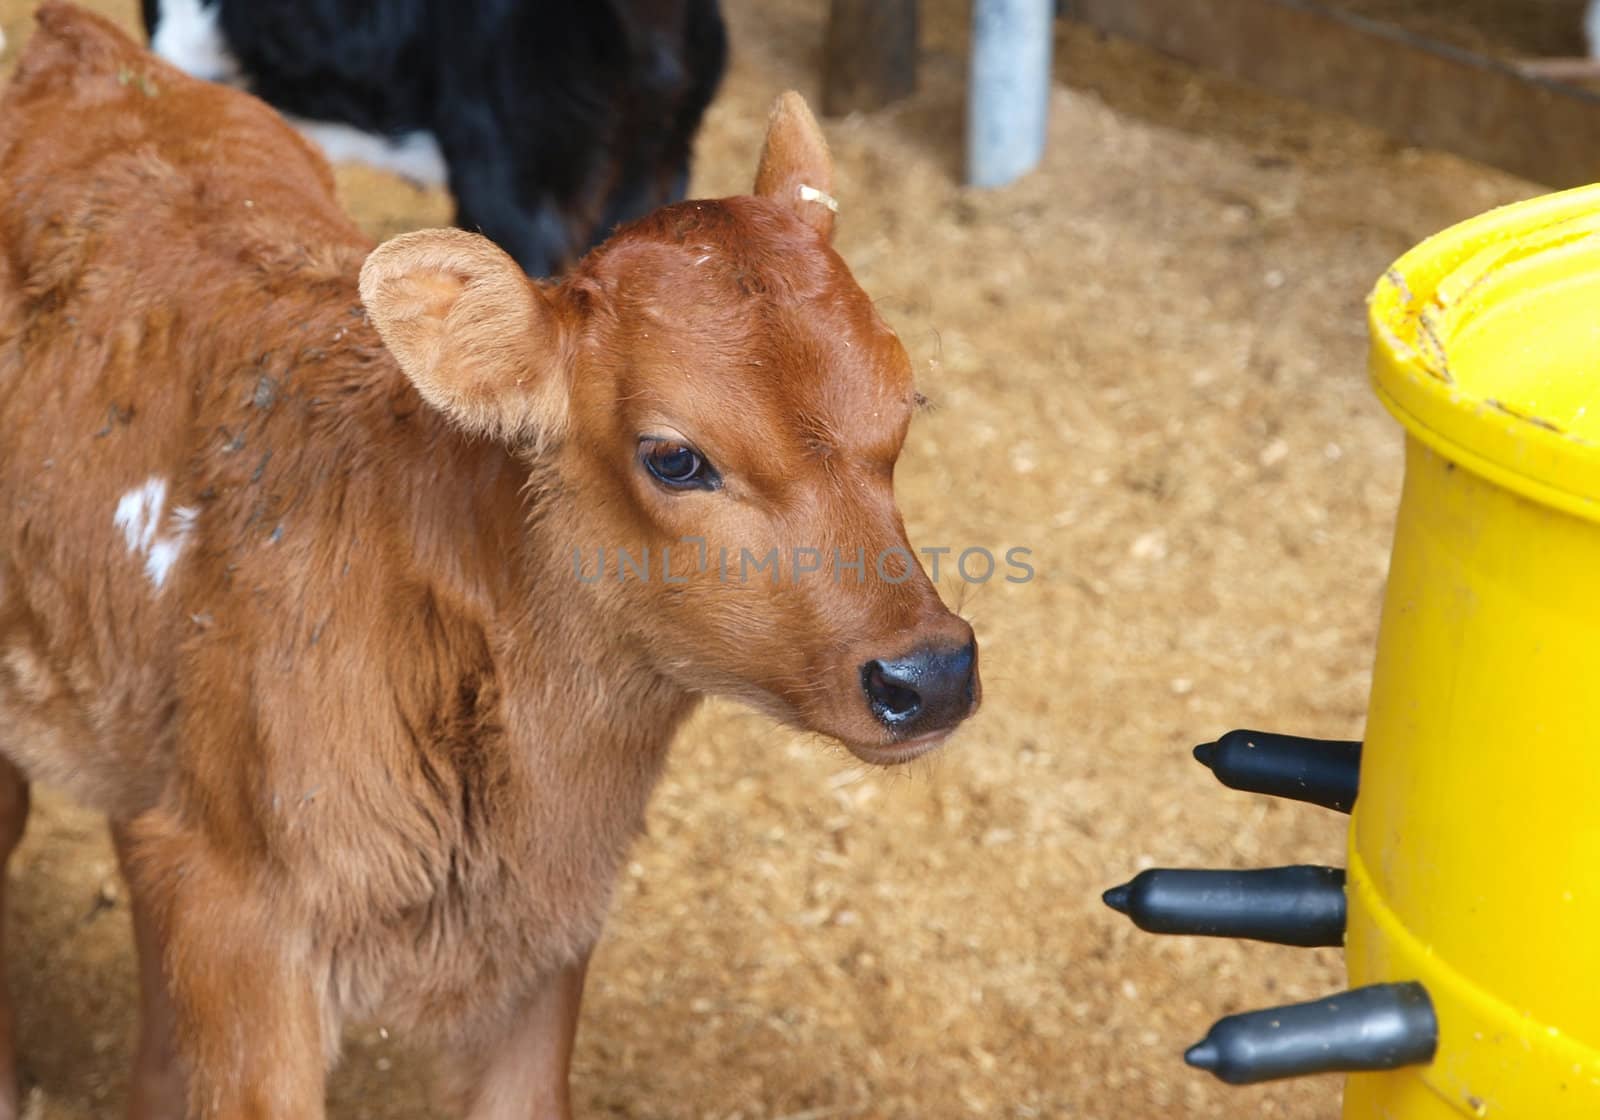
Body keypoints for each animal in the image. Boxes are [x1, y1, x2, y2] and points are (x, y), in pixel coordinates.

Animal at [0, 4, 972, 1113]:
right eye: (674, 457)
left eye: (904, 400)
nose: (931, 673)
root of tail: (77, 40)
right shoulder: (239, 925)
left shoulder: (546, 938)